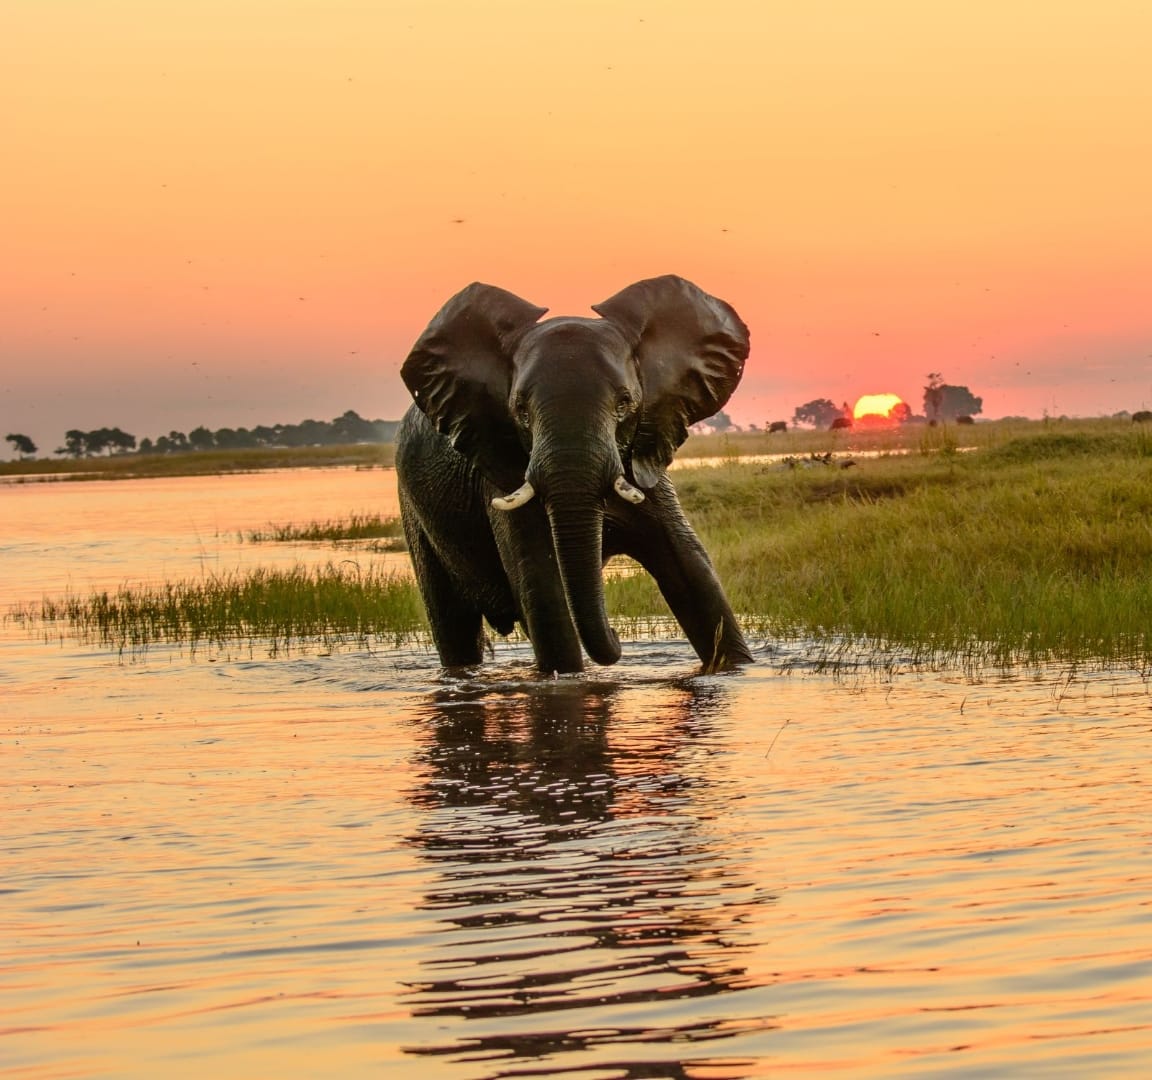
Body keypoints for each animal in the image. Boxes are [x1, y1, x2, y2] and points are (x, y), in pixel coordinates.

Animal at [395, 274, 754, 675]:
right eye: (520, 410)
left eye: (625, 403)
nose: (617, 636)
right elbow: (543, 590)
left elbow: (692, 572)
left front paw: (736, 670)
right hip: (415, 513)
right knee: (453, 625)